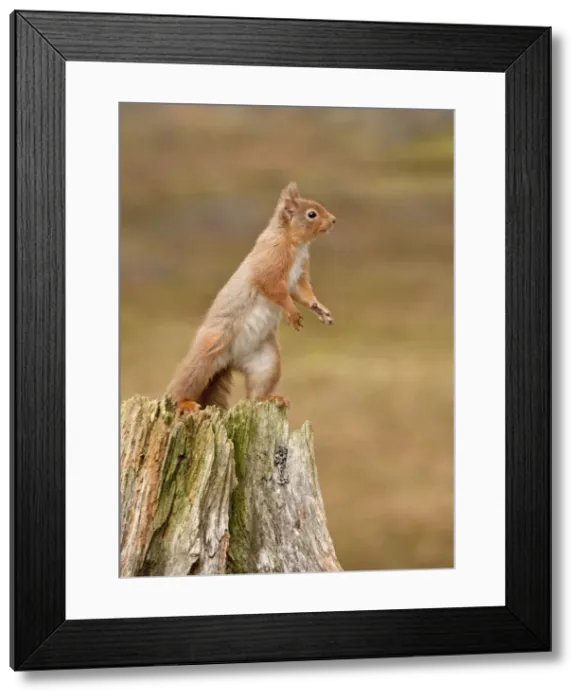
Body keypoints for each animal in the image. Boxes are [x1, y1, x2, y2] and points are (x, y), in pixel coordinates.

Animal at [166, 181, 337, 414]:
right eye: (311, 214)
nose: (334, 220)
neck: (294, 243)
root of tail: (231, 361)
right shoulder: (269, 264)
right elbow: (274, 289)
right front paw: (292, 313)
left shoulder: (298, 276)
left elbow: (302, 293)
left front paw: (320, 309)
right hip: (206, 354)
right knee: (184, 382)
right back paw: (184, 402)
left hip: (267, 362)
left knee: (255, 394)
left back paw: (271, 398)